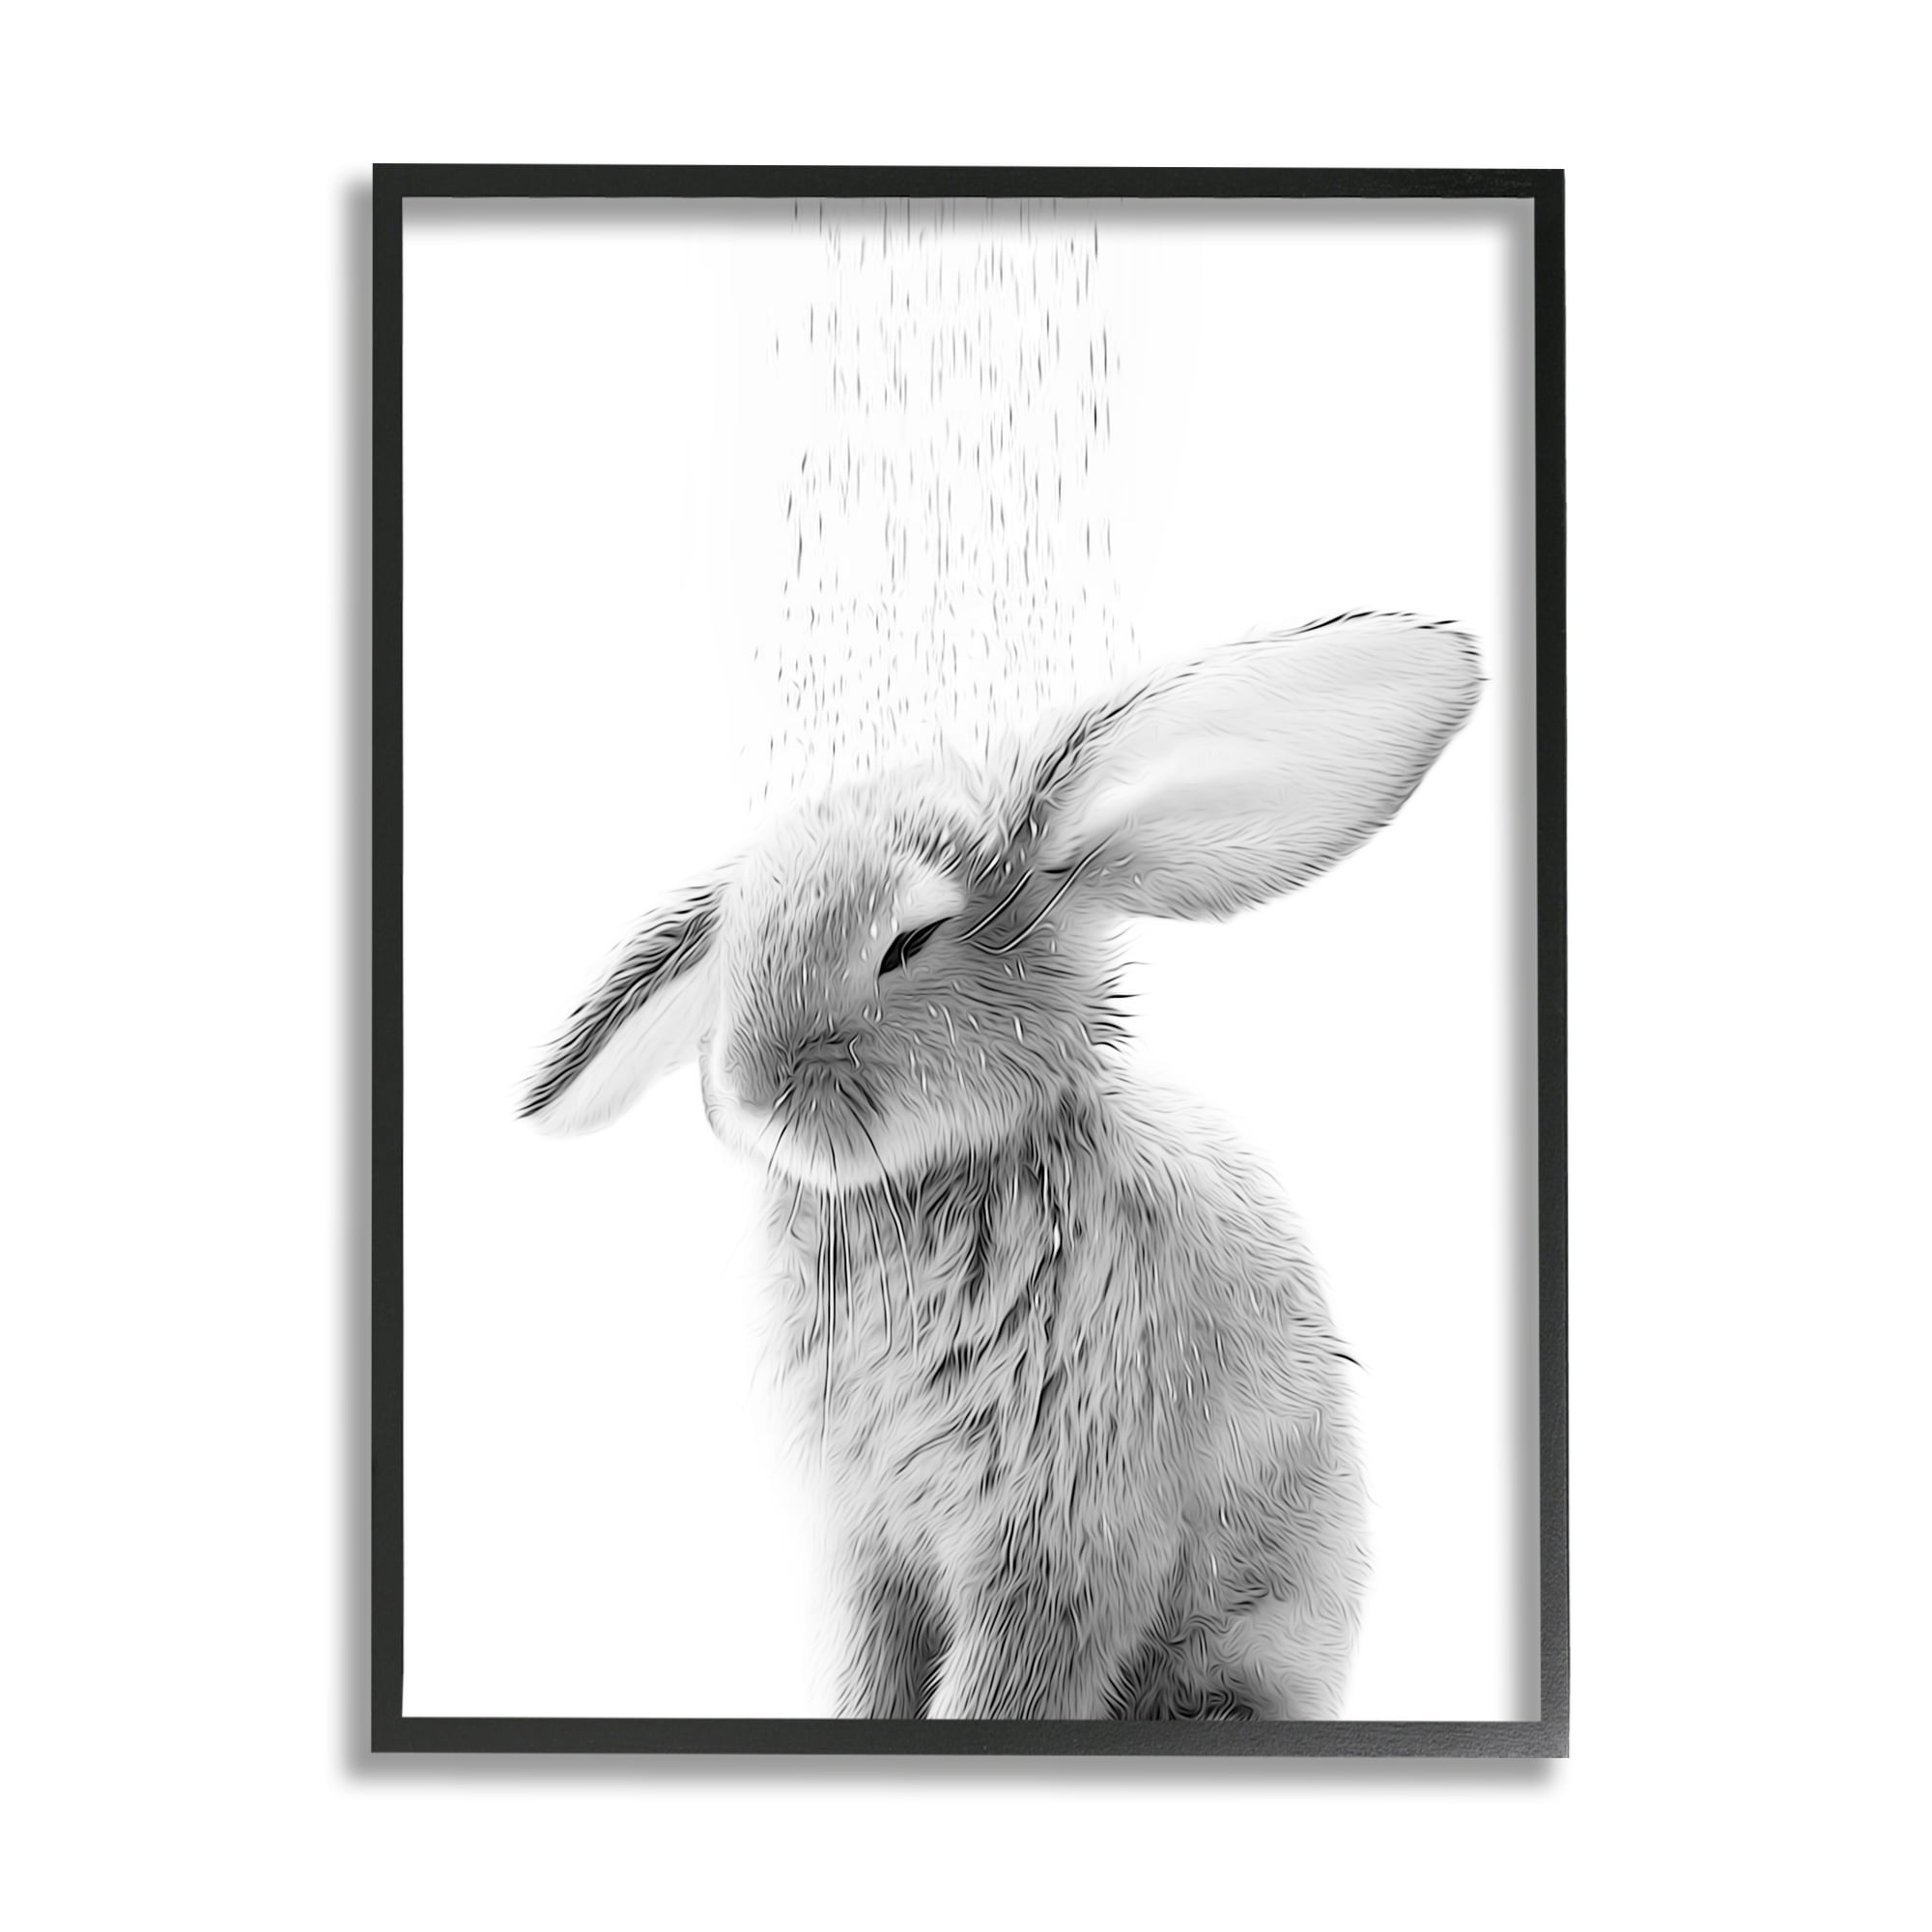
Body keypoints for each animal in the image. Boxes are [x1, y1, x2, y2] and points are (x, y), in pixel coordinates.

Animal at [521, 611, 1480, 1720]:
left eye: (910, 938)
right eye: (740, 935)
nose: (748, 1091)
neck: (931, 1184)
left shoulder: (1060, 1540)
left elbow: (1001, 1686)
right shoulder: (870, 1547)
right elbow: (867, 1669)